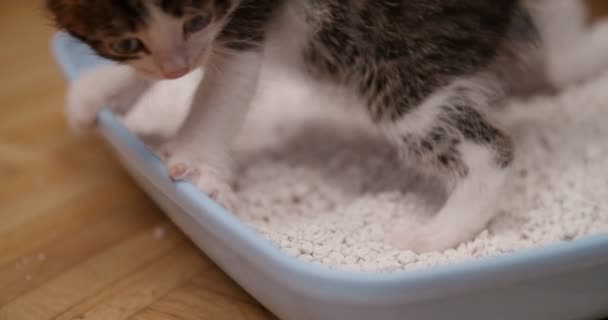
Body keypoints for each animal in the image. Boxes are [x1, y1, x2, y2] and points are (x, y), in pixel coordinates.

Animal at [46, 1, 608, 254]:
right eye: (126, 41)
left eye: (196, 19)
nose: (177, 66)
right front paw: (96, 92)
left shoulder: (243, 14)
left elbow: (226, 81)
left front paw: (198, 166)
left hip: (393, 58)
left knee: (487, 148)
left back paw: (433, 235)